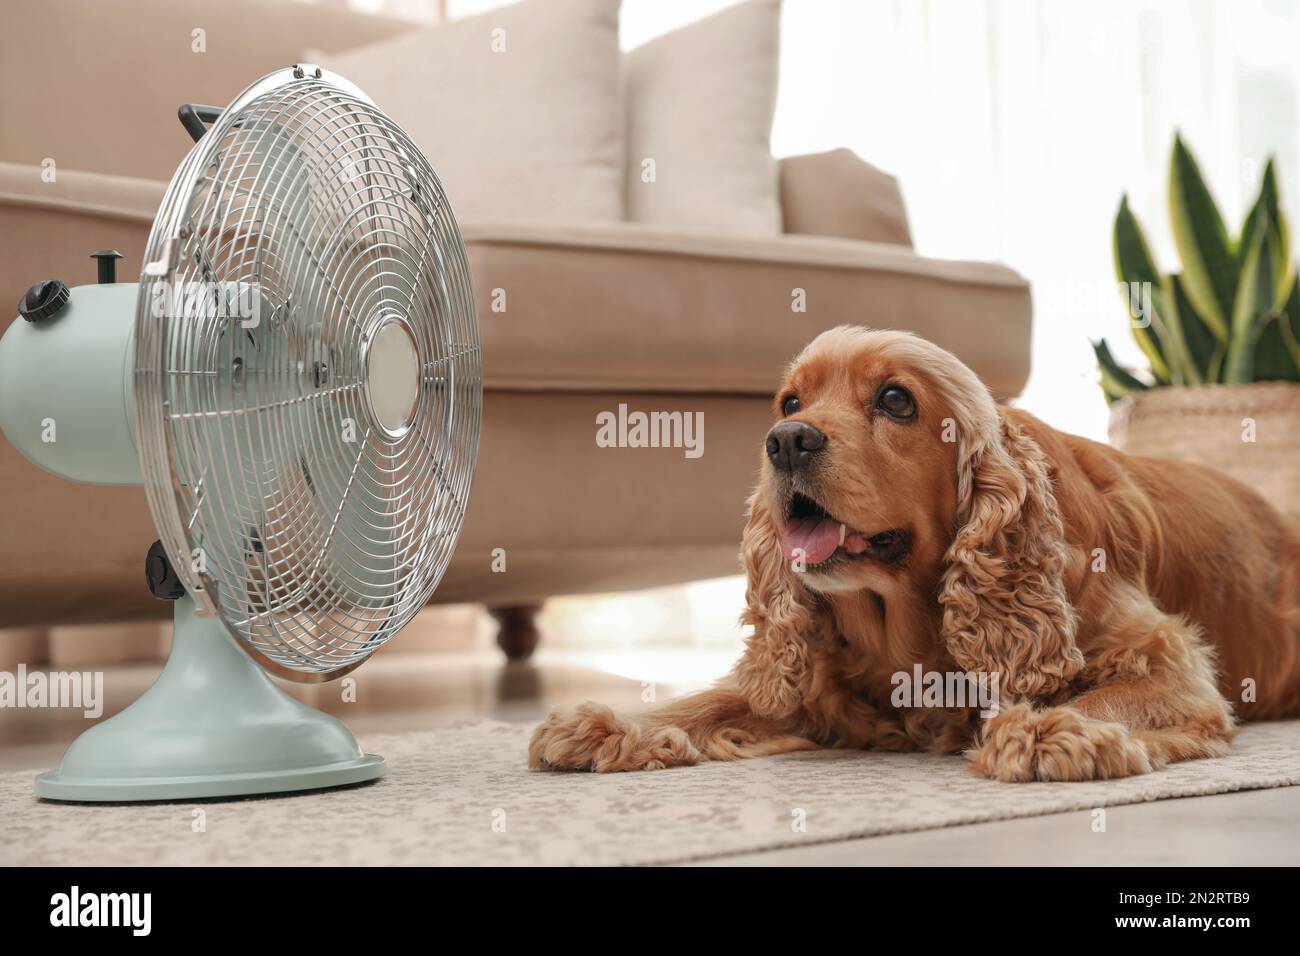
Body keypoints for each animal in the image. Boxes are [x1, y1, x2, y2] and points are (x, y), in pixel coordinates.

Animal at [527, 325, 1300, 780]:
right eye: (789, 403)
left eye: (897, 401)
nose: (786, 442)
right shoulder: (813, 681)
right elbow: (713, 702)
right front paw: (617, 724)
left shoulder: (1164, 655)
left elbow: (1116, 693)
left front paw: (1050, 729)